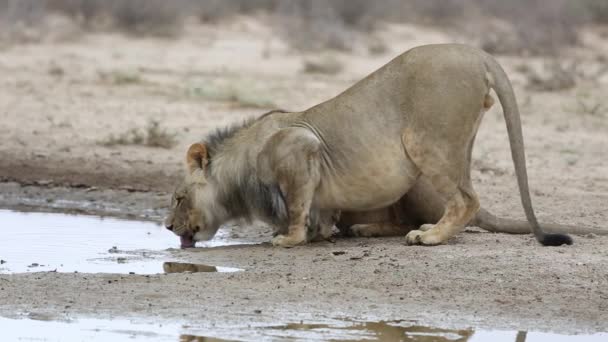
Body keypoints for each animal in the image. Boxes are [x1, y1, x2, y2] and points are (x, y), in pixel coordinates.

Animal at [164, 44, 580, 248]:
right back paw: (373, 229)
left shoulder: (300, 147)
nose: (167, 226)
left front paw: (289, 239)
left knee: (466, 200)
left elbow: (297, 208)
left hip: (425, 145)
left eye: (179, 198)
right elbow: (318, 212)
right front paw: (319, 234)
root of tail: (477, 53)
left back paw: (429, 237)